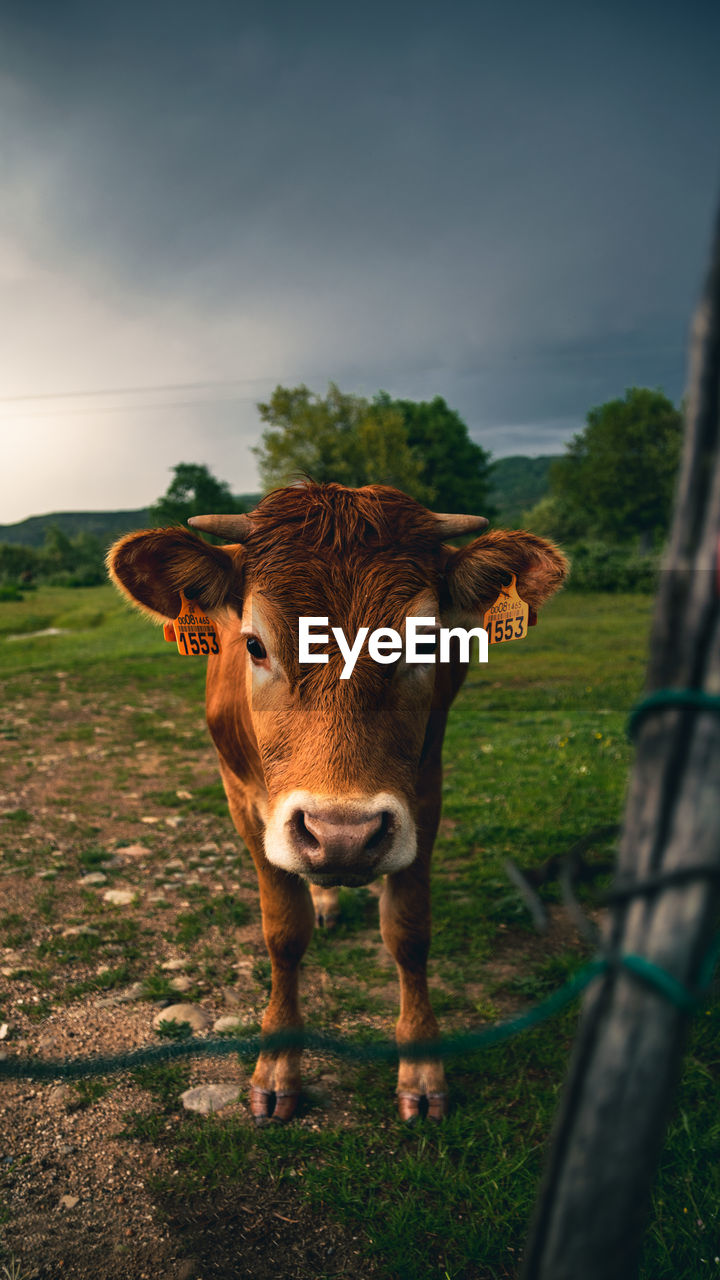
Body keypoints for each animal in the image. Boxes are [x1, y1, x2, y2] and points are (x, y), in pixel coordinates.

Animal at [107, 483, 566, 1126]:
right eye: (254, 645)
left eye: (426, 642)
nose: (342, 834)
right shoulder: (243, 801)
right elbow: (283, 931)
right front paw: (277, 1068)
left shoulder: (424, 797)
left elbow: (408, 931)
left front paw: (421, 1070)